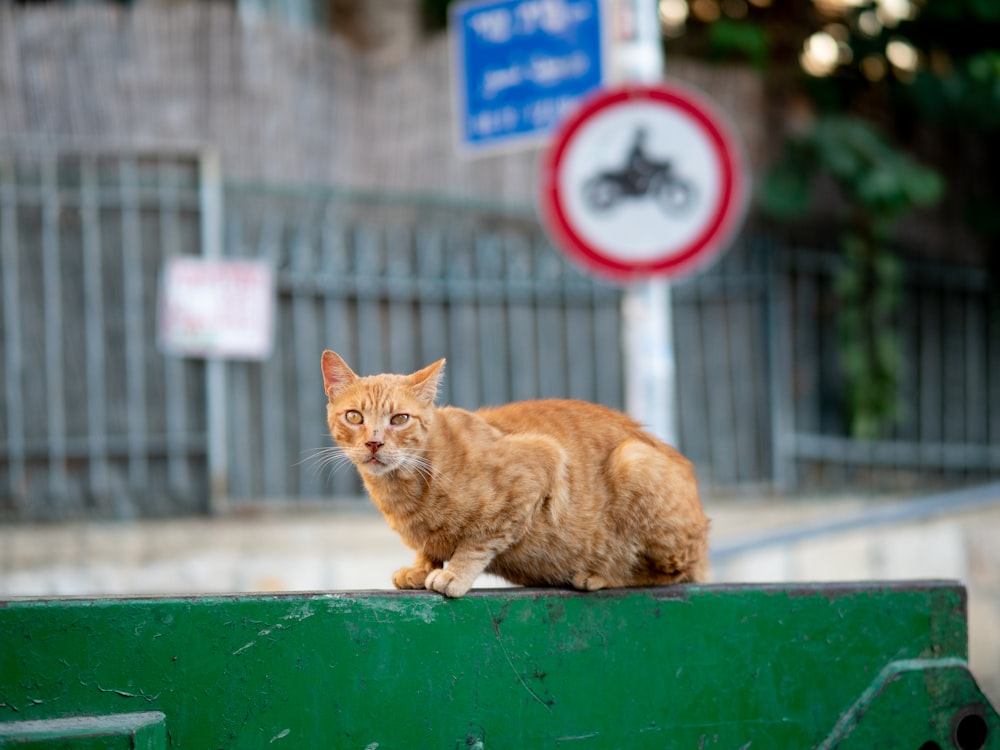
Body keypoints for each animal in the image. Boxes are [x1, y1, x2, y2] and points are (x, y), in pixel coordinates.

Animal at [322, 348, 712, 600]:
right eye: (354, 416)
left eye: (400, 419)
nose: (374, 443)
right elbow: (429, 547)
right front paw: (421, 568)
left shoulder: (539, 464)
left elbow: (477, 541)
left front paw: (453, 573)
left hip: (635, 460)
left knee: (675, 572)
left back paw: (600, 575)